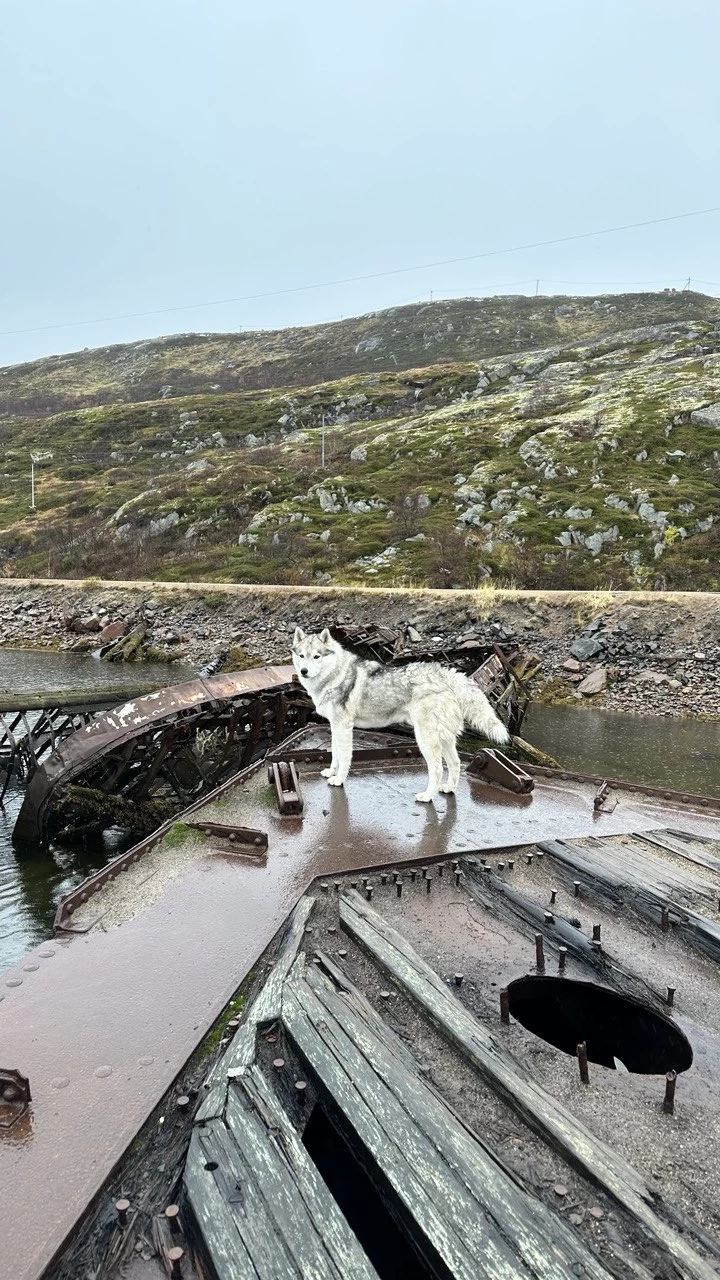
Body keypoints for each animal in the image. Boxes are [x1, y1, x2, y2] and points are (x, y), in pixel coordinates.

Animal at [288, 627, 507, 798]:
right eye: (302, 656)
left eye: (317, 656)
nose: (304, 671)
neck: (335, 674)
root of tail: (445, 674)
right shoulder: (334, 727)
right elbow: (334, 755)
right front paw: (330, 772)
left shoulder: (344, 727)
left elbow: (344, 758)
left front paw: (339, 779)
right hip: (444, 739)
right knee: (455, 763)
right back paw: (449, 789)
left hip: (425, 740)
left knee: (437, 769)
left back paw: (427, 796)